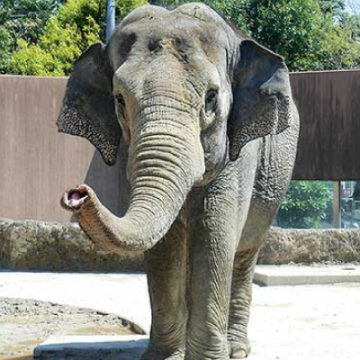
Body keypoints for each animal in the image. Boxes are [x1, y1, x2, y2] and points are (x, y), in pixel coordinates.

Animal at [58, 3, 298, 360]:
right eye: (119, 100)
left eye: (211, 98)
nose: (77, 193)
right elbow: (165, 245)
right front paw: (166, 357)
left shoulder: (238, 154)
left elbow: (214, 236)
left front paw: (209, 358)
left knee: (244, 250)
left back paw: (237, 349)